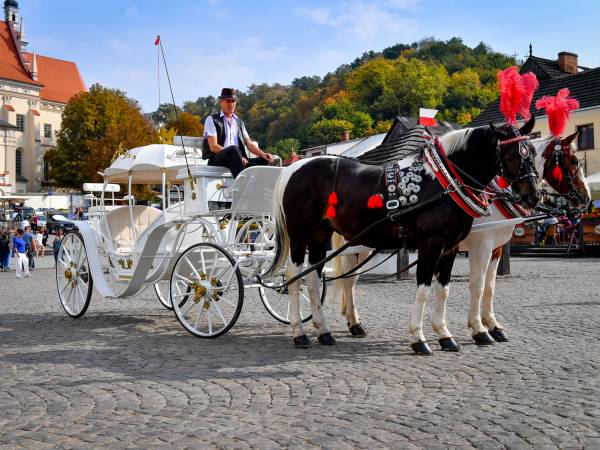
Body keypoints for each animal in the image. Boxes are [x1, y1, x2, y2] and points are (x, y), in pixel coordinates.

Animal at [268, 117, 540, 356]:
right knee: (294, 278)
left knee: (316, 278)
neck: (444, 183)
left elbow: (444, 289)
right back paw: (300, 332)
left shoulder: (451, 247)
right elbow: (427, 289)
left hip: (322, 235)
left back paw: (324, 331)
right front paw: (420, 338)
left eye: (532, 152)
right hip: (300, 235)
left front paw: (445, 335)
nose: (533, 197)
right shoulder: (435, 245)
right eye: (513, 155)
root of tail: (293, 168)